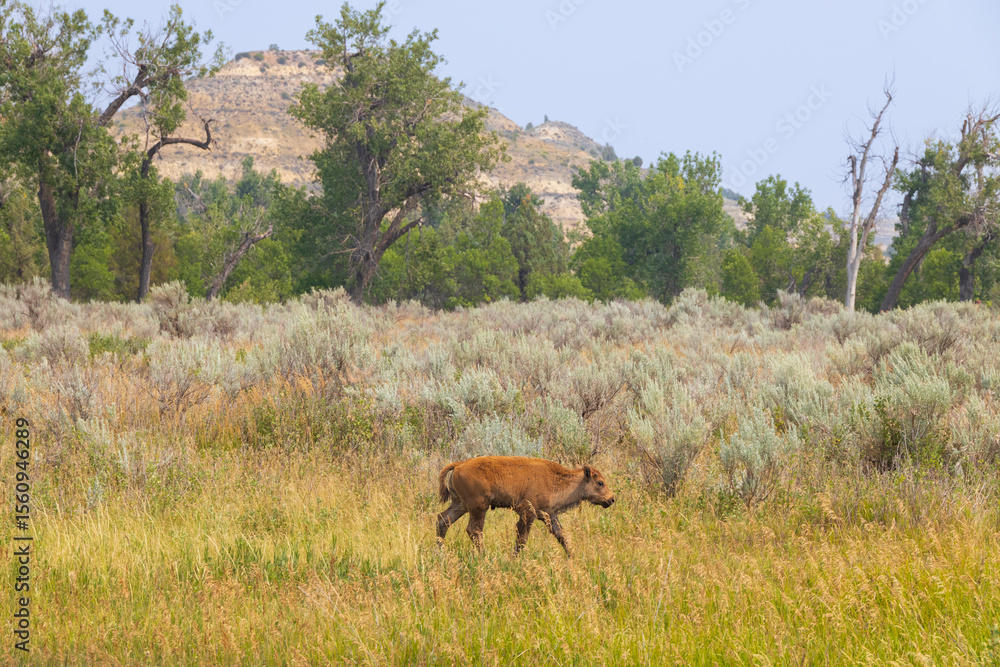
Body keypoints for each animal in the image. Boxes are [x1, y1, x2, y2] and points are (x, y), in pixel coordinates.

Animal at [436, 456, 615, 557]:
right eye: (600, 482)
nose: (612, 499)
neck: (555, 479)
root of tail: (459, 464)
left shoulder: (550, 515)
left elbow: (562, 536)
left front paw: (573, 556)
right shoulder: (528, 513)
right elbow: (522, 539)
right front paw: (513, 558)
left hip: (460, 504)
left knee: (443, 520)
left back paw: (441, 553)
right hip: (478, 507)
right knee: (474, 530)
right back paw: (483, 555)